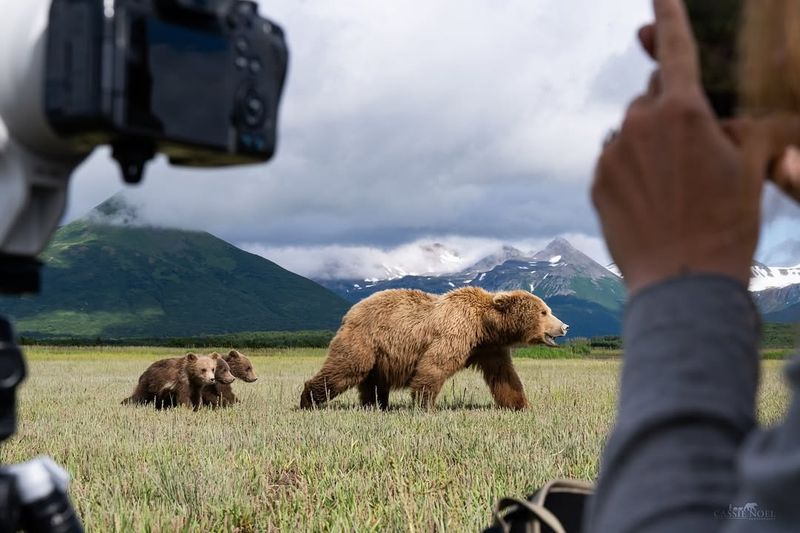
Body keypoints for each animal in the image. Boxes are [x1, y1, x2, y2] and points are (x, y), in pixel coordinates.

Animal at [300, 286, 568, 408]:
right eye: (544, 312)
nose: (565, 326)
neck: (485, 326)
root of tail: (351, 311)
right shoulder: (456, 333)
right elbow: (435, 365)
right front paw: (424, 404)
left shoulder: (489, 349)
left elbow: (504, 376)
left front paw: (520, 405)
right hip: (366, 339)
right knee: (347, 367)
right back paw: (308, 399)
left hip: (381, 354)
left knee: (373, 381)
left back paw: (376, 405)